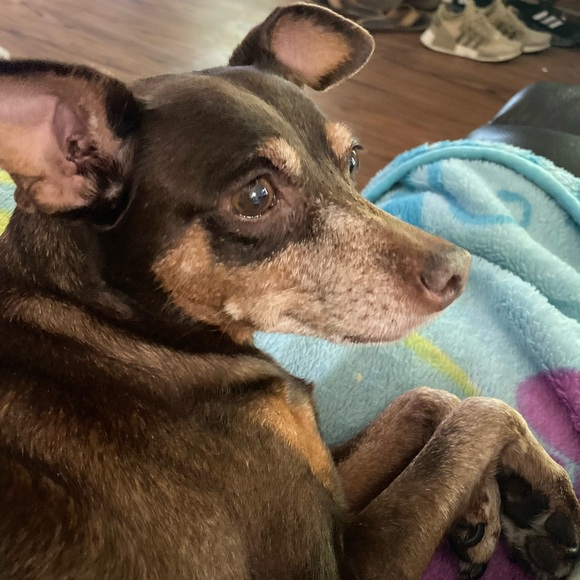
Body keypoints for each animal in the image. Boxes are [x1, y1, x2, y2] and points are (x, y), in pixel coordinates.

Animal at [0, 4, 578, 579]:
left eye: (352, 160)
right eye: (256, 197)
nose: (460, 270)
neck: (118, 329)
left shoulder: (329, 483)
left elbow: (428, 402)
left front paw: (495, 502)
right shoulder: (345, 561)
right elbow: (483, 412)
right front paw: (535, 490)